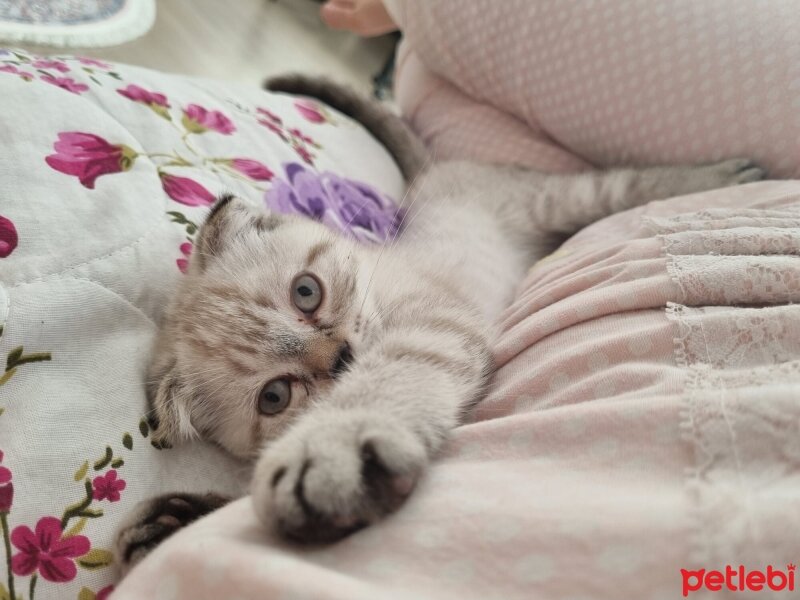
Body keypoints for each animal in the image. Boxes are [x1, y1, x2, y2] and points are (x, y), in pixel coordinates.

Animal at [112, 74, 764, 572]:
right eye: (275, 396)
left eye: (306, 292)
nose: (341, 357)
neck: (381, 278)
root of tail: (435, 173)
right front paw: (166, 524)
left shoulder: (435, 327)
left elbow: (388, 380)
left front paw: (330, 447)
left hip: (560, 198)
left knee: (623, 183)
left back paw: (723, 176)